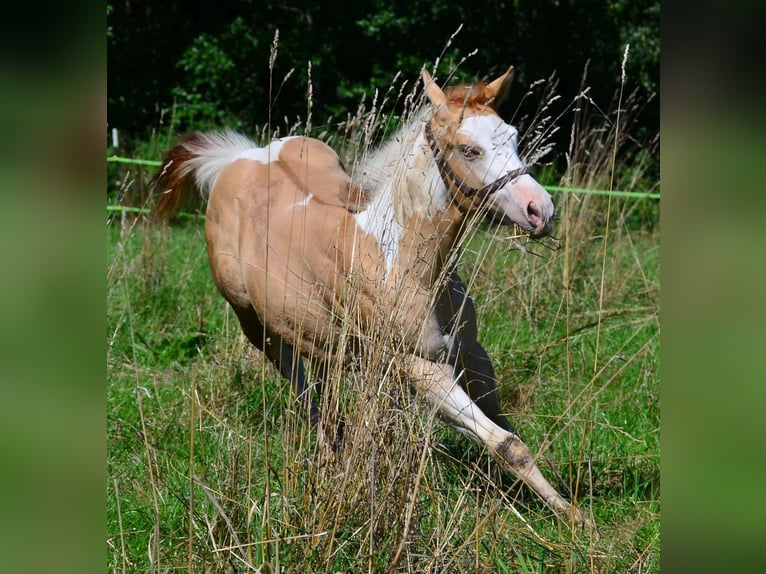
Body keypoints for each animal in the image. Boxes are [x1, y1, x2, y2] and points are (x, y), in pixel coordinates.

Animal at [153, 67, 590, 527]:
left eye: (513, 136)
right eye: (468, 150)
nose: (540, 210)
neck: (400, 260)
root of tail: (239, 160)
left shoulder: (472, 356)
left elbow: (511, 434)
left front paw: (564, 507)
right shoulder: (419, 369)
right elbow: (507, 444)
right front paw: (576, 520)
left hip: (318, 334)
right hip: (258, 328)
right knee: (305, 393)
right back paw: (330, 457)